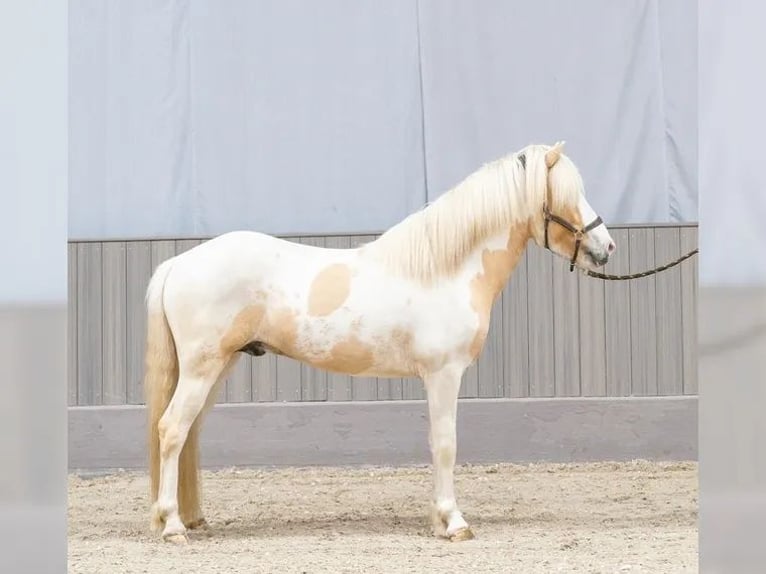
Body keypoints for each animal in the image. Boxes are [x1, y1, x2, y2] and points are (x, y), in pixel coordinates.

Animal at [144, 141, 616, 544]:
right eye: (569, 195)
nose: (607, 246)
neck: (445, 269)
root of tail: (179, 263)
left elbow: (436, 444)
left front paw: (438, 519)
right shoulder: (444, 374)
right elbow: (446, 443)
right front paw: (454, 522)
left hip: (217, 367)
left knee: (188, 434)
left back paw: (190, 519)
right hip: (202, 368)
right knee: (172, 430)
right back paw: (172, 525)